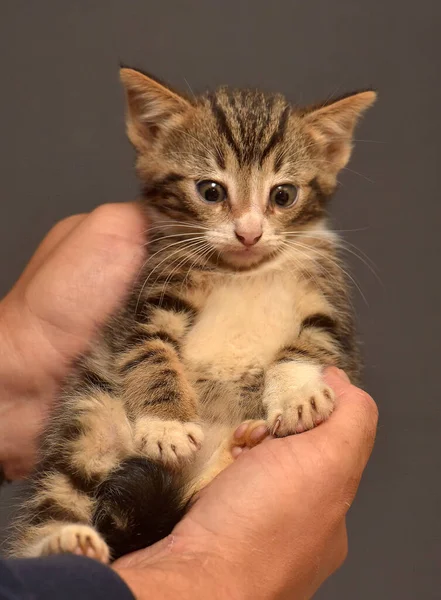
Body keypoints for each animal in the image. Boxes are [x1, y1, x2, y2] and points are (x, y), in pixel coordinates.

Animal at [7, 67, 374, 564]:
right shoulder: (146, 303)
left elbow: (311, 344)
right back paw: (65, 542)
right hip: (91, 413)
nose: (248, 233)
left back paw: (239, 449)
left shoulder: (330, 305)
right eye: (210, 191)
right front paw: (168, 424)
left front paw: (297, 394)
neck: (243, 271)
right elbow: (150, 353)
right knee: (60, 490)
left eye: (283, 195)